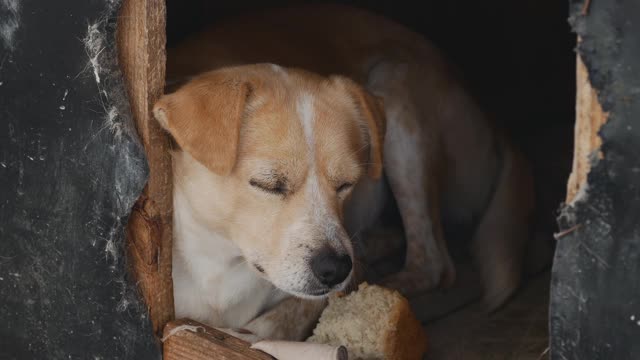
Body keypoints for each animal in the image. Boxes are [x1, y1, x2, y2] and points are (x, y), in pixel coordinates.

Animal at [154, 4, 536, 344]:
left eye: (346, 184)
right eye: (268, 184)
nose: (335, 269)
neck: (220, 263)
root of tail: (491, 117)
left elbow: (277, 321)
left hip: (394, 90)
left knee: (433, 262)